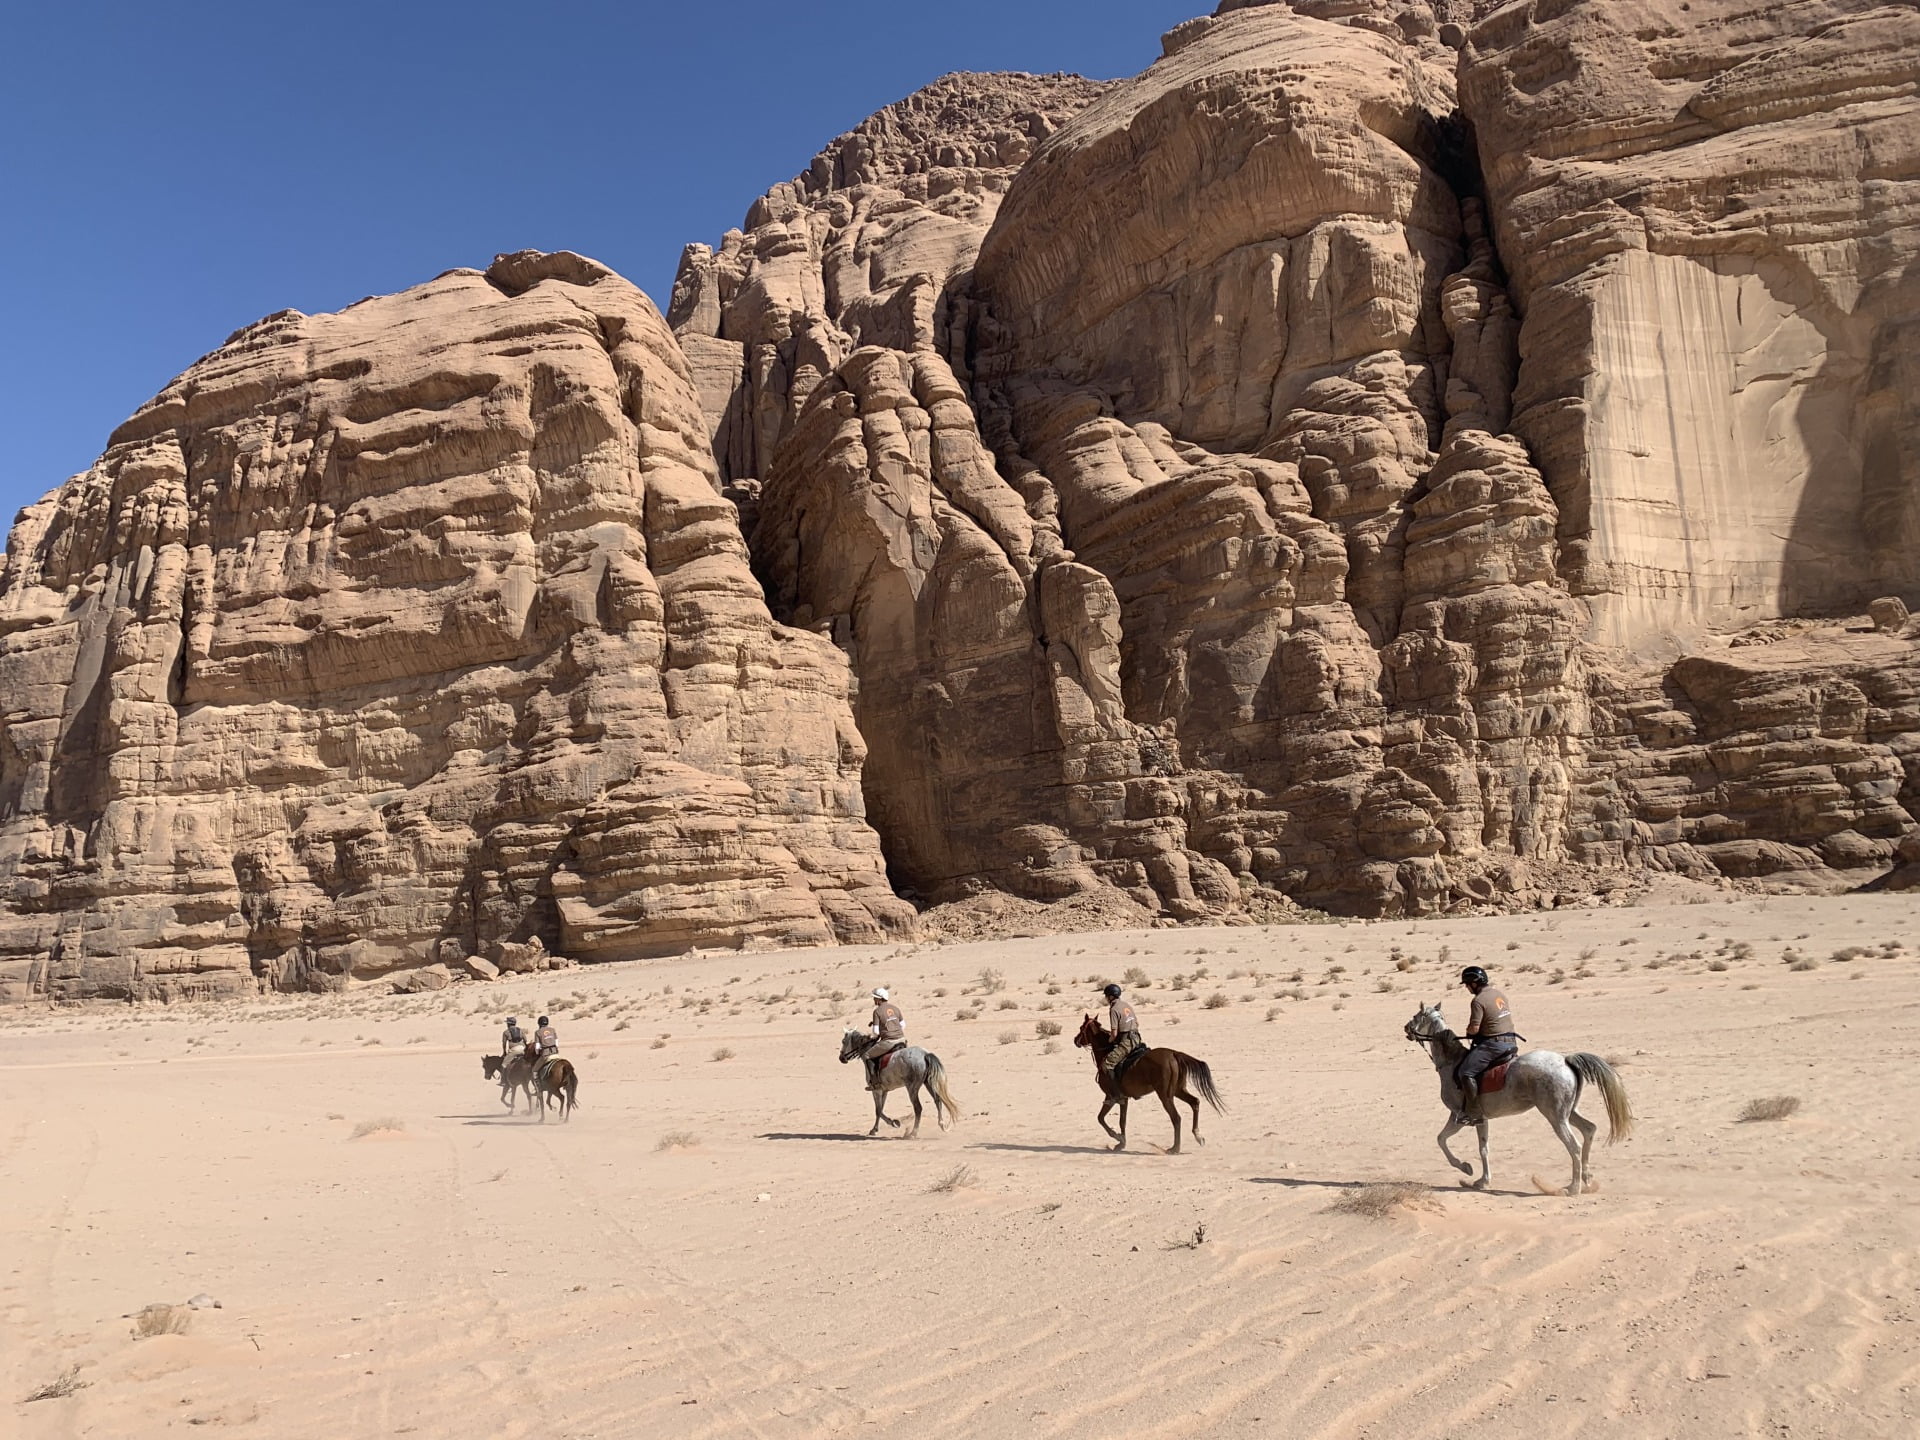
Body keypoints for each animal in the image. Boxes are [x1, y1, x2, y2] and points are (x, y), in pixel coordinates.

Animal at [1075, 1021, 1221, 1159]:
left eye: (1081, 1028)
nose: (1075, 1040)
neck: (1105, 1053)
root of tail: (1174, 1054)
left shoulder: (1110, 1097)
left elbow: (1100, 1118)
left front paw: (1117, 1137)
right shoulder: (1123, 1099)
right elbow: (1122, 1121)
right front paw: (1121, 1143)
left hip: (1165, 1095)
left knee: (1176, 1117)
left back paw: (1175, 1148)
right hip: (1178, 1090)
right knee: (1195, 1102)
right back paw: (1198, 1136)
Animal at [1397, 1006, 1635, 1198]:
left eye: (1416, 1016)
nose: (1406, 1028)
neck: (1452, 1063)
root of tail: (1565, 1060)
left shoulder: (1458, 1116)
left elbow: (1441, 1140)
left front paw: (1464, 1167)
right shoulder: (1481, 1119)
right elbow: (1484, 1148)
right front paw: (1481, 1181)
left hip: (1555, 1117)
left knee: (1574, 1145)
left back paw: (1572, 1188)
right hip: (1568, 1112)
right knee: (1588, 1129)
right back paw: (1586, 1180)